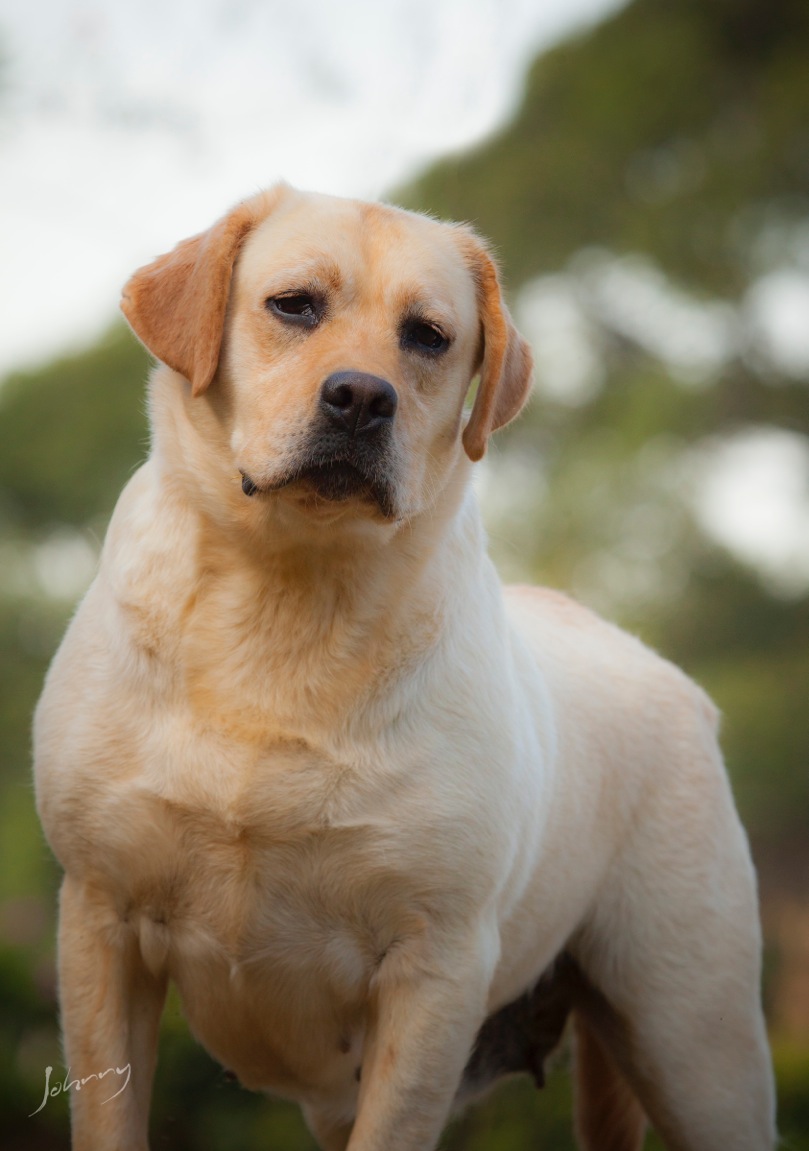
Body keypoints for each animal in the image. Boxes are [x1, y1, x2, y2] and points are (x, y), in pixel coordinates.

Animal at [34, 184, 773, 1146]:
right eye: (293, 305)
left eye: (427, 335)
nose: (359, 397)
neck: (287, 594)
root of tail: (663, 671)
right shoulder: (99, 920)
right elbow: (109, 1113)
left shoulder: (436, 967)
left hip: (695, 1042)